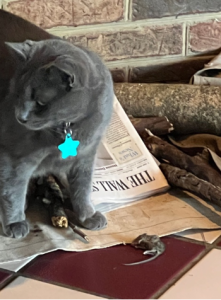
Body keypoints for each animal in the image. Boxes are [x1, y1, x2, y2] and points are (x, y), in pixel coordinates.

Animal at [0, 38, 114, 238]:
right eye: (16, 95)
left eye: (41, 102)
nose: (20, 117)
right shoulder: (13, 156)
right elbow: (12, 189)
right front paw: (15, 223)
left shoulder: (86, 155)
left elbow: (83, 187)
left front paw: (87, 215)